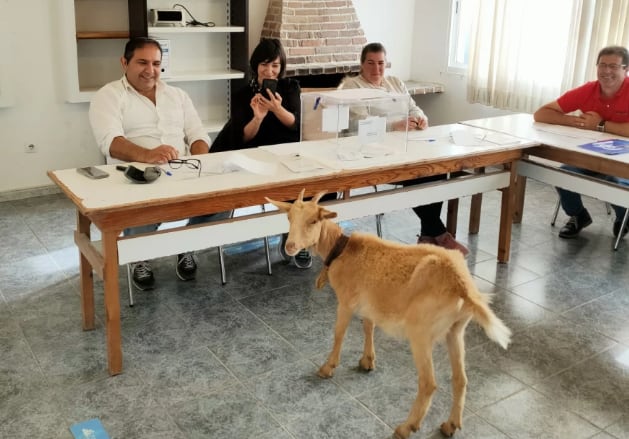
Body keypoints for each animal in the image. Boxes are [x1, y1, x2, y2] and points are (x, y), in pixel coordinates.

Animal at [264, 190, 510, 439]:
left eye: (314, 220)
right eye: (289, 219)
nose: (291, 246)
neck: (341, 249)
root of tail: (462, 284)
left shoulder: (346, 301)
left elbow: (339, 333)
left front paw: (328, 367)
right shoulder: (369, 303)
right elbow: (368, 326)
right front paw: (367, 361)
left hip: (420, 332)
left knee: (428, 383)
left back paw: (406, 427)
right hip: (456, 330)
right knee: (460, 379)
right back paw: (450, 425)